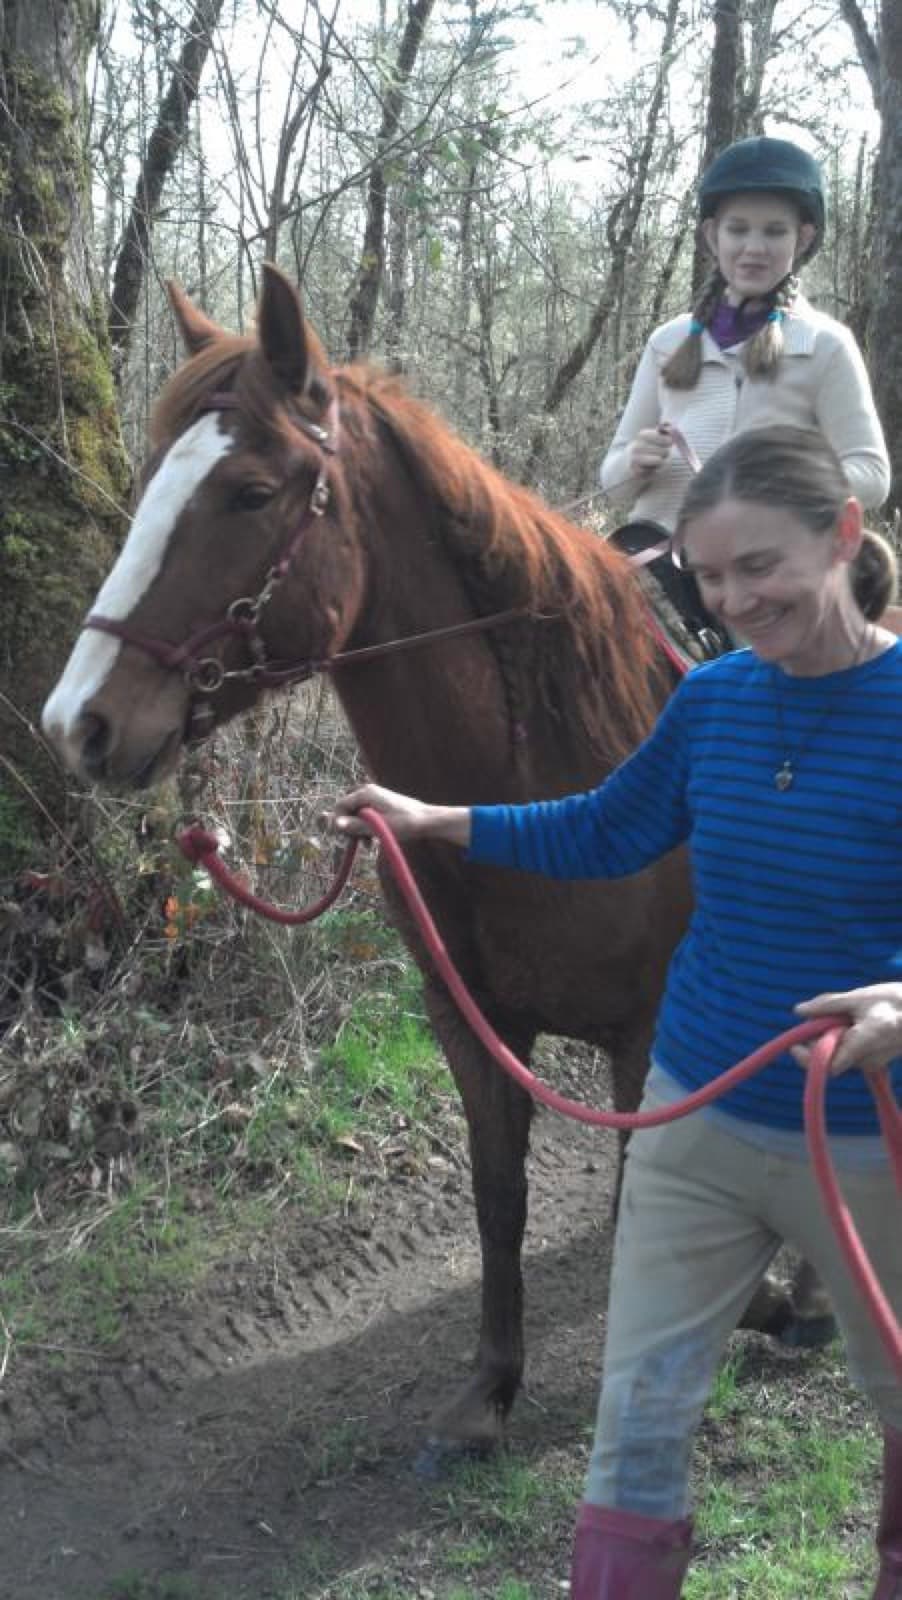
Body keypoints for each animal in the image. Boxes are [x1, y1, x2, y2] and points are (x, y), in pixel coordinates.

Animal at [41, 263, 829, 1462]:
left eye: (251, 492)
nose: (77, 721)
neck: (535, 783)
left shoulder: (647, 1029)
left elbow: (646, 1193)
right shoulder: (471, 1024)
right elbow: (498, 1192)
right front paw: (490, 1386)